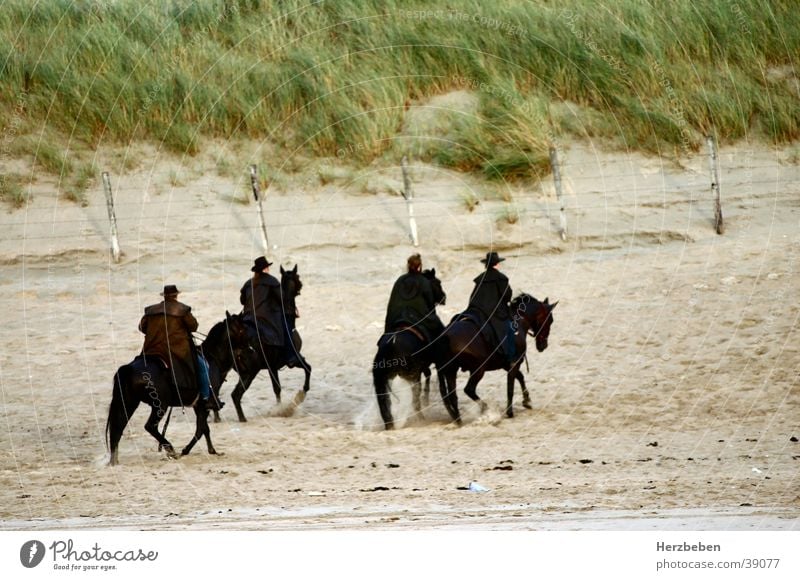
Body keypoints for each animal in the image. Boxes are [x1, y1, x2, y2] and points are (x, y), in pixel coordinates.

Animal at [106, 312, 250, 466]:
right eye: (242, 330)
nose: (250, 347)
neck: (212, 358)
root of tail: (129, 369)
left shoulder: (198, 405)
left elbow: (204, 429)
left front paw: (212, 450)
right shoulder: (204, 404)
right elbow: (200, 430)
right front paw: (186, 450)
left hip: (129, 403)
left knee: (118, 428)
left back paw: (114, 460)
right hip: (159, 405)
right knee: (149, 426)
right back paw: (171, 450)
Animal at [220, 264, 314, 422]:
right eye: (298, 277)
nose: (301, 286)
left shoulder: (272, 367)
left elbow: (277, 388)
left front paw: (279, 408)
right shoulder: (294, 359)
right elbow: (307, 368)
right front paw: (300, 395)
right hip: (249, 373)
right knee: (236, 395)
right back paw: (242, 418)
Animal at [374, 270, 446, 428]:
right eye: (438, 282)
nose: (444, 297)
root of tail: (392, 346)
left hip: (383, 381)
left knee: (386, 406)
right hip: (411, 375)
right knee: (415, 398)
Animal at [434, 296, 560, 424]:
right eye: (550, 320)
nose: (543, 345)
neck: (518, 323)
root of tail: (445, 336)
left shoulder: (507, 365)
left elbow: (520, 377)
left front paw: (527, 401)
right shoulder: (514, 363)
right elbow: (510, 387)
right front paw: (510, 412)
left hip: (451, 371)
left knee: (452, 396)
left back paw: (459, 420)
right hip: (478, 370)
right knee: (469, 390)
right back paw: (485, 409)